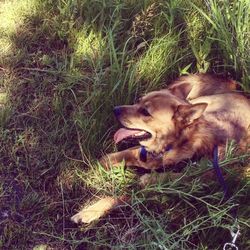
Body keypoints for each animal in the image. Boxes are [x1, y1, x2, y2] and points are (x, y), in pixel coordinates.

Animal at [71, 73, 250, 224]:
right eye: (139, 100)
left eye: (145, 112)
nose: (115, 110)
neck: (171, 148)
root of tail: (237, 89)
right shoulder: (140, 153)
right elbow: (117, 155)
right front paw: (98, 164)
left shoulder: (156, 189)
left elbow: (119, 197)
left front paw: (89, 211)